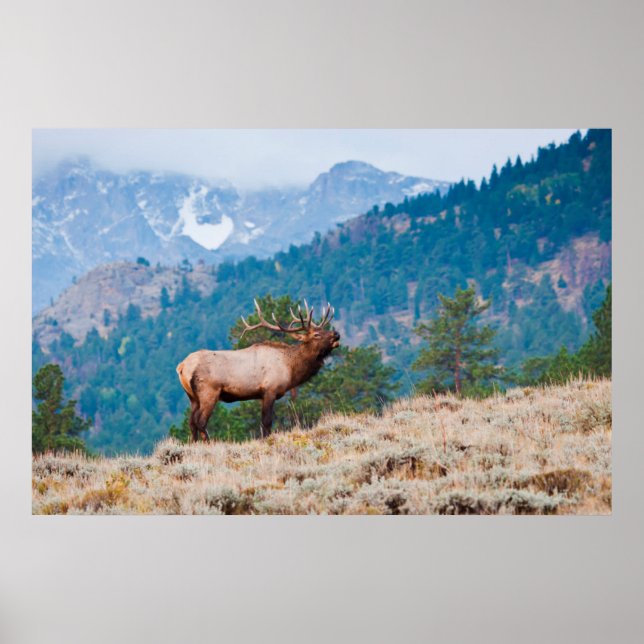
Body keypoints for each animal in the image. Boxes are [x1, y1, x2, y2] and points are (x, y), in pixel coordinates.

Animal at [176, 299, 340, 441]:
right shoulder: (270, 389)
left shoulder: (262, 394)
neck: (290, 369)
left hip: (192, 397)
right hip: (209, 392)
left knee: (191, 422)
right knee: (201, 421)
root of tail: (182, 366)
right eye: (316, 334)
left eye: (324, 329)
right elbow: (266, 422)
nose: (337, 334)